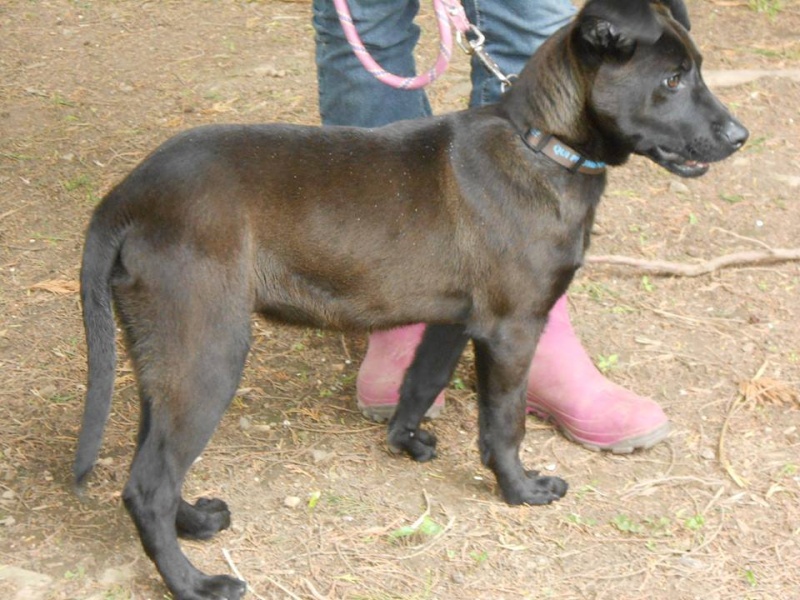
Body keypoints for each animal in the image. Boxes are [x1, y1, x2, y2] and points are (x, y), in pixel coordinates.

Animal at [72, 2, 748, 596]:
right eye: (672, 79)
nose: (741, 136)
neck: (540, 144)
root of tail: (126, 197)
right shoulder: (512, 328)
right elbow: (503, 421)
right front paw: (520, 490)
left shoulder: (455, 320)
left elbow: (421, 382)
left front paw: (405, 440)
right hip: (209, 349)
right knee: (147, 486)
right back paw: (195, 584)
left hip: (166, 353)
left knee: (151, 462)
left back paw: (194, 521)